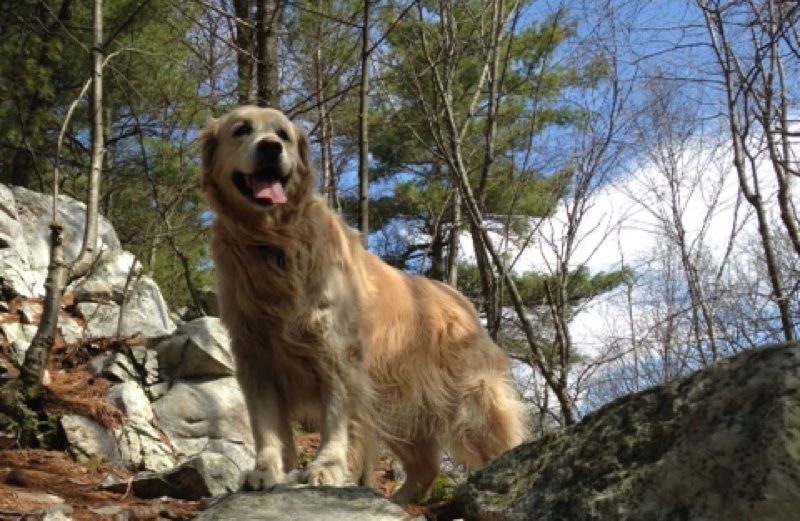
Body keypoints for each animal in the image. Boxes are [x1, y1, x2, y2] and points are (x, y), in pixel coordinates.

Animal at [198, 106, 524, 504]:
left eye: (283, 134)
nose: (271, 148)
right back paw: (397, 500)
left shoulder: (336, 356)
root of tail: (458, 299)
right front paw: (266, 470)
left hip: (471, 400)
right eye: (242, 130)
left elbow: (335, 421)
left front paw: (326, 468)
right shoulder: (256, 360)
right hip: (397, 405)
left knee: (497, 444)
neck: (273, 242)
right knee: (425, 466)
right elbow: (267, 427)